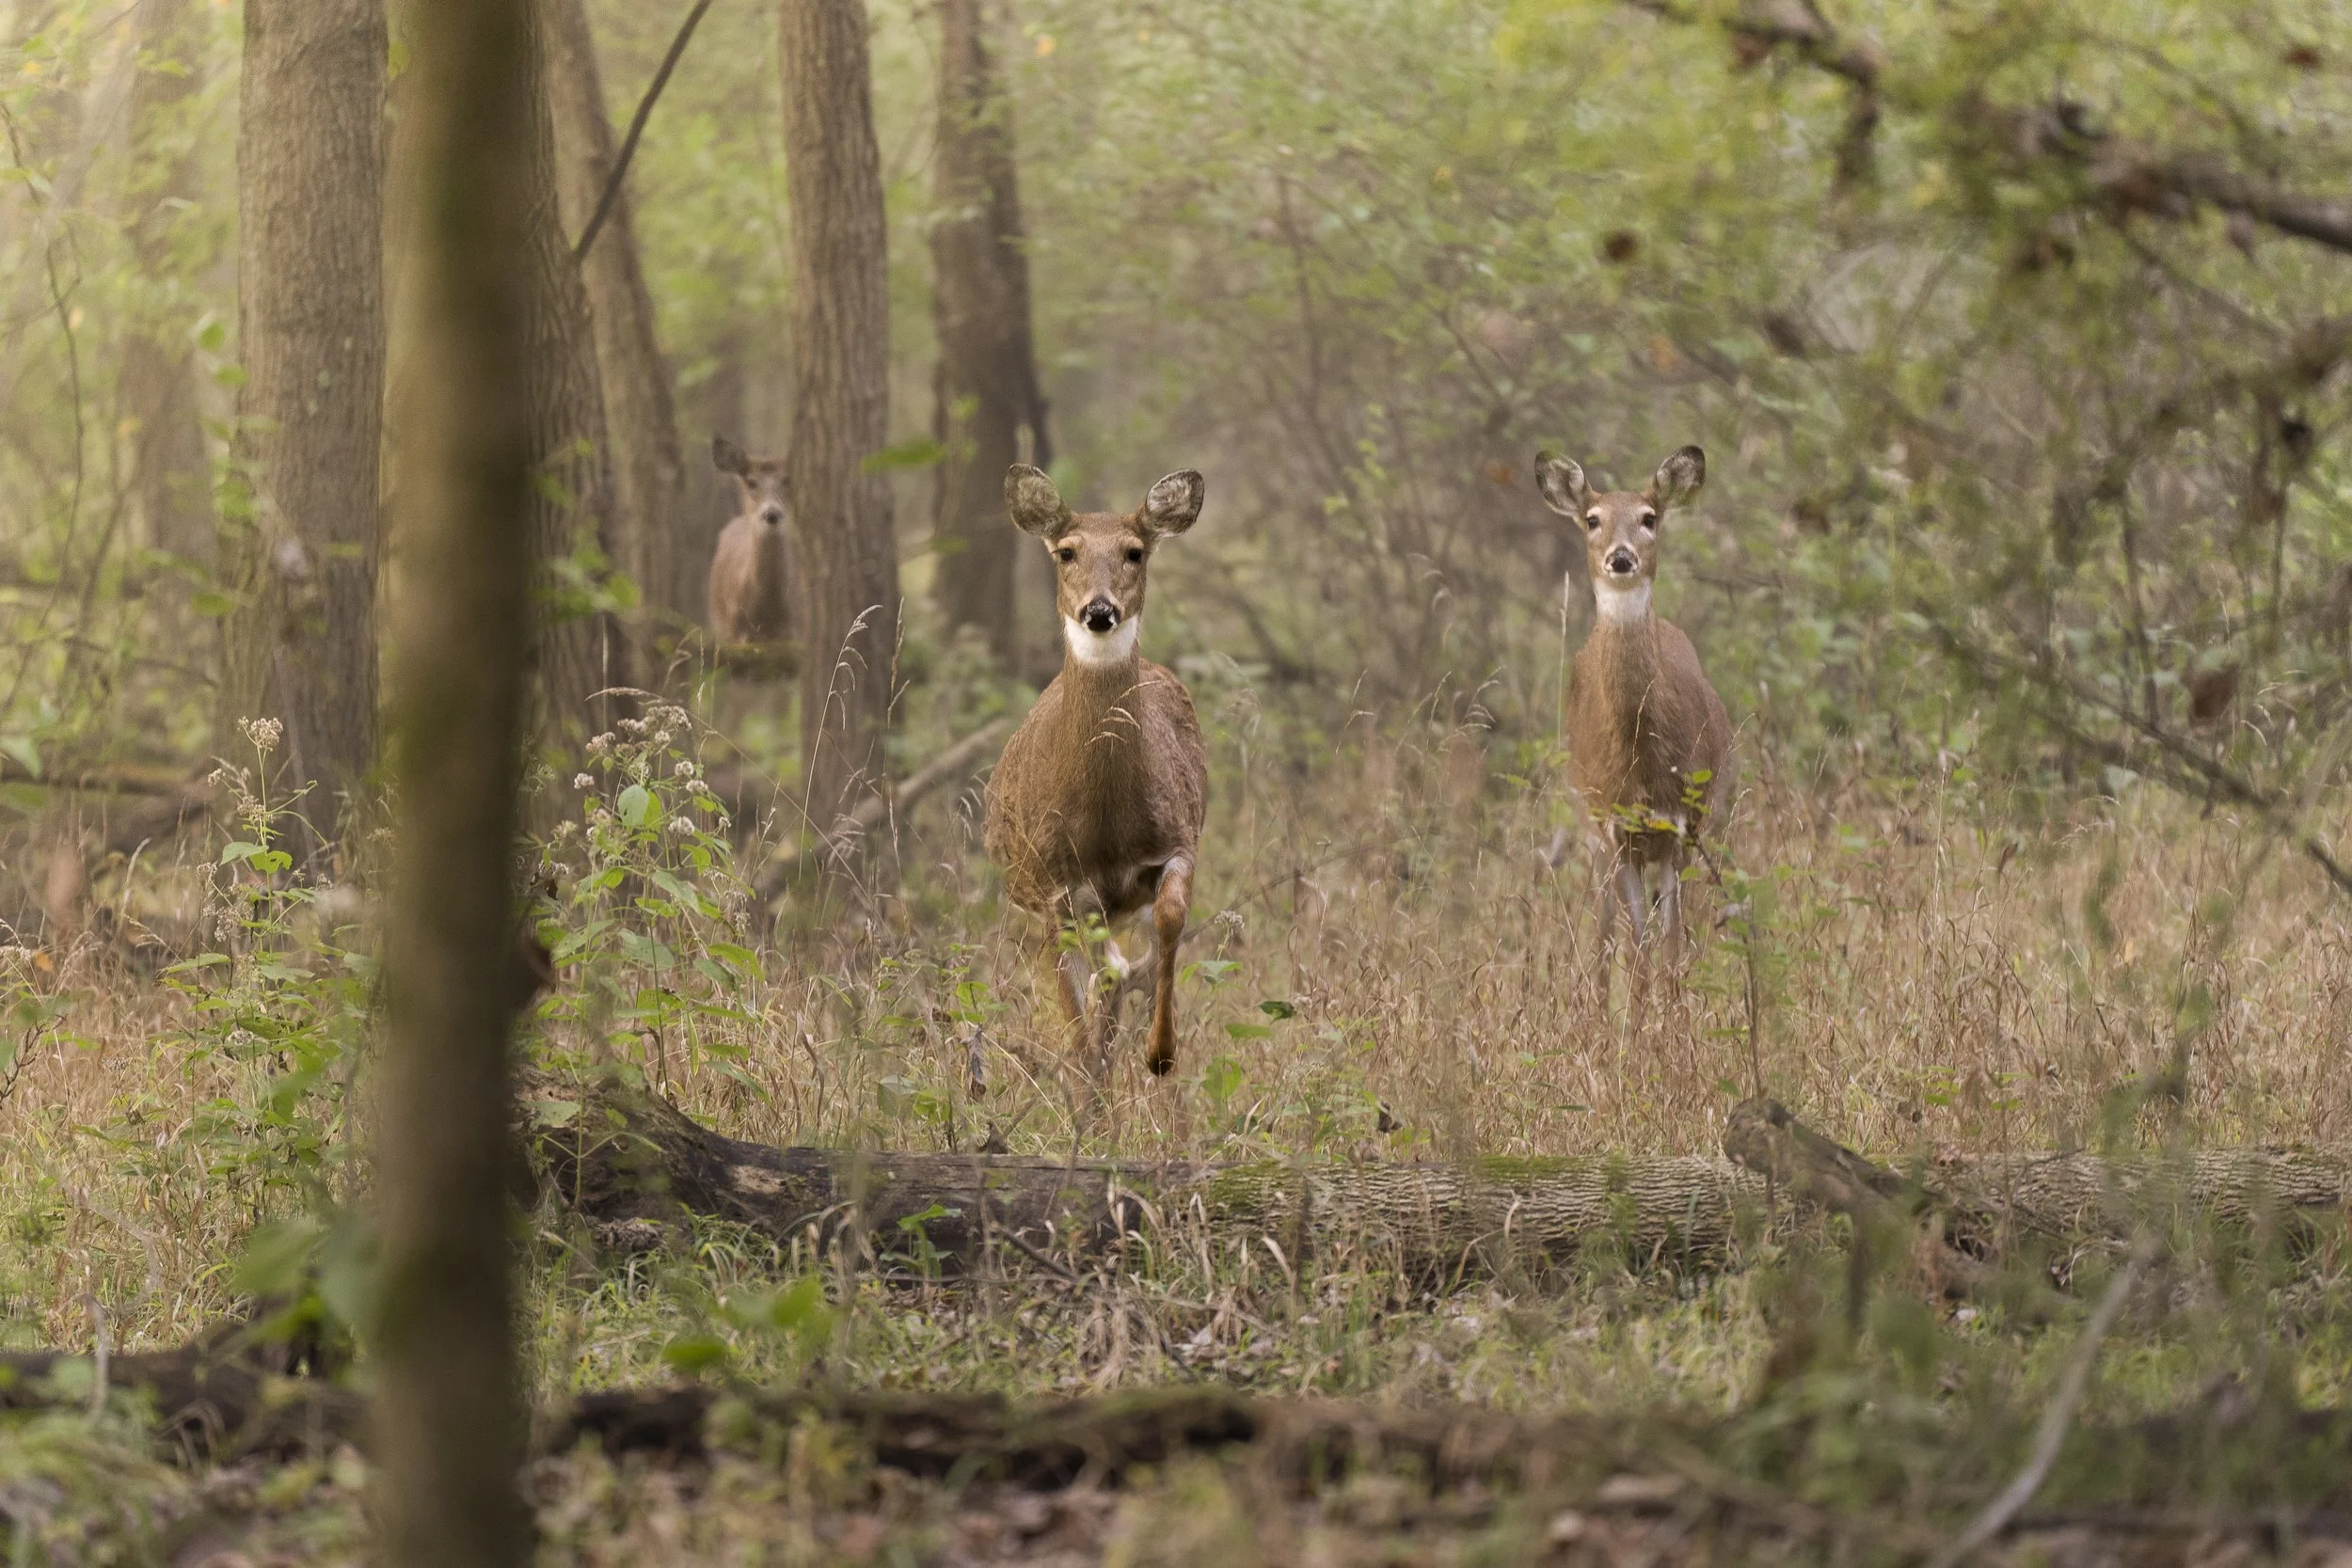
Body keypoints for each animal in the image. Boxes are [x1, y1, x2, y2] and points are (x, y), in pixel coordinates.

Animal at [984, 463, 1208, 1079]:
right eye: (1066, 552)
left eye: (1135, 551)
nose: (1099, 610)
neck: (1105, 824)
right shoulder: (1052, 884)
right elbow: (1073, 1003)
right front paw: (1090, 1070)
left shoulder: (1177, 838)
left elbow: (1171, 917)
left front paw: (1161, 1053)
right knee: (1091, 983)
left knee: (1116, 973)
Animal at [1536, 444, 1732, 1003]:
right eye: (1592, 519)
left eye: (1649, 517)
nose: (1621, 557)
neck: (1642, 767)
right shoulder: (1614, 826)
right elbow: (1637, 946)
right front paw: (1639, 1023)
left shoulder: (1684, 824)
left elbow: (1672, 945)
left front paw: (1674, 1019)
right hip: (1591, 832)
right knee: (1604, 934)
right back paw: (1601, 1009)